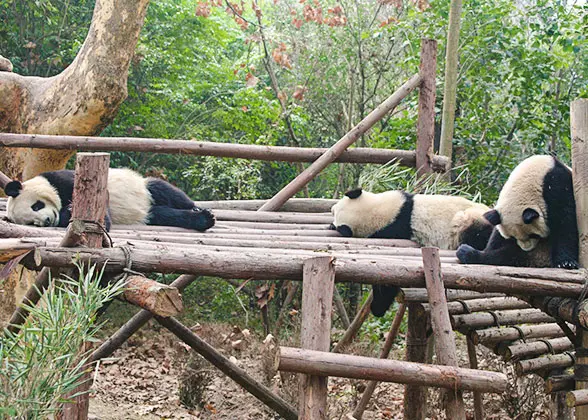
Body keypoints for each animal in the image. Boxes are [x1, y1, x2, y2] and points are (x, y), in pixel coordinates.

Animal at [4, 168, 216, 233]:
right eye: (33, 223)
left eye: (36, 206)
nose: (48, 221)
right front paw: (69, 212)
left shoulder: (66, 178)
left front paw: (72, 209)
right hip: (150, 214)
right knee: (165, 215)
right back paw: (201, 220)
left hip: (143, 189)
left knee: (164, 190)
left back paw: (201, 212)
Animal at [330, 189, 492, 316]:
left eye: (335, 211)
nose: (331, 208)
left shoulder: (393, 230)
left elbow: (387, 284)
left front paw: (377, 308)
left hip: (469, 221)